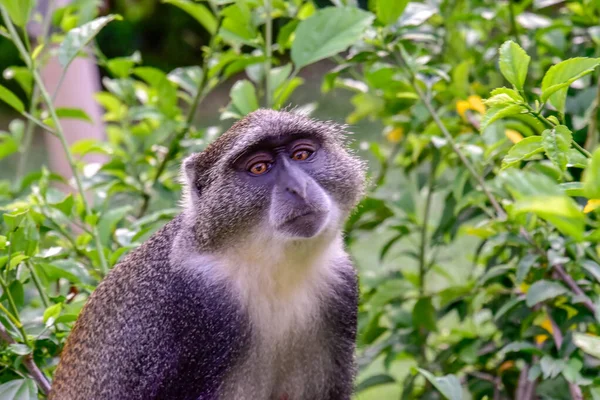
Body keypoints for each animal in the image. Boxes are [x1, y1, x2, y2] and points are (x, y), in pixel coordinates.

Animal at [49, 109, 366, 400]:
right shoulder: (199, 306)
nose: (298, 187)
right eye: (259, 167)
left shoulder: (340, 281)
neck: (273, 270)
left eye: (301, 154)